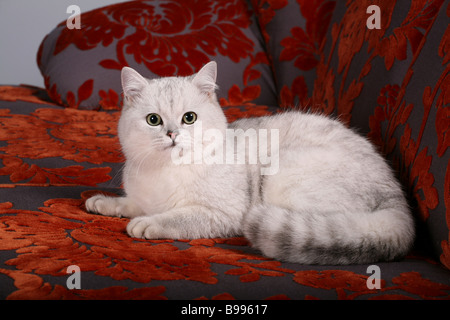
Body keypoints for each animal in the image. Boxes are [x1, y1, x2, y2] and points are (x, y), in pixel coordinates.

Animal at [84, 61, 414, 264]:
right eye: (153, 120)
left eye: (189, 118)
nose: (172, 134)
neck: (165, 171)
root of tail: (397, 200)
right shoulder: (143, 197)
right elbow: (131, 203)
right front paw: (104, 203)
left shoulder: (221, 213)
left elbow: (177, 218)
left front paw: (148, 224)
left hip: (283, 178)